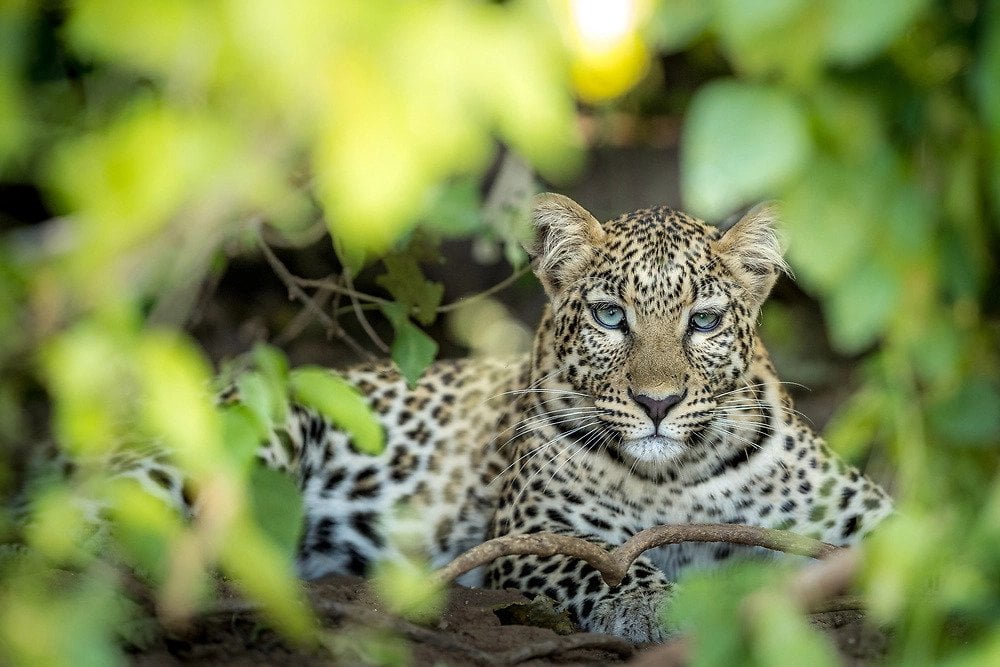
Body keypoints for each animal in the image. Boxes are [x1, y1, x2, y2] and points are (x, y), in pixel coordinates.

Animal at [105, 193, 896, 640]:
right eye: (611, 317)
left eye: (702, 322)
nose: (658, 403)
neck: (677, 475)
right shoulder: (526, 537)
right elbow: (606, 564)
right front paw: (652, 606)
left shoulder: (859, 514)